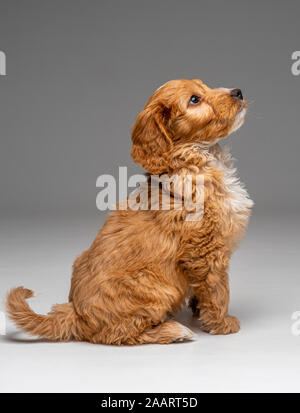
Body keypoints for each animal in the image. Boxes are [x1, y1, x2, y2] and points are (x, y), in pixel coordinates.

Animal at [6, 79, 253, 342]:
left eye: (205, 86)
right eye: (194, 100)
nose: (238, 92)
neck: (198, 156)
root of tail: (78, 314)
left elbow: (204, 290)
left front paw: (200, 312)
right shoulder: (206, 250)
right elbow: (218, 289)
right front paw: (222, 323)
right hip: (158, 287)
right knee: (119, 334)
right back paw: (173, 330)